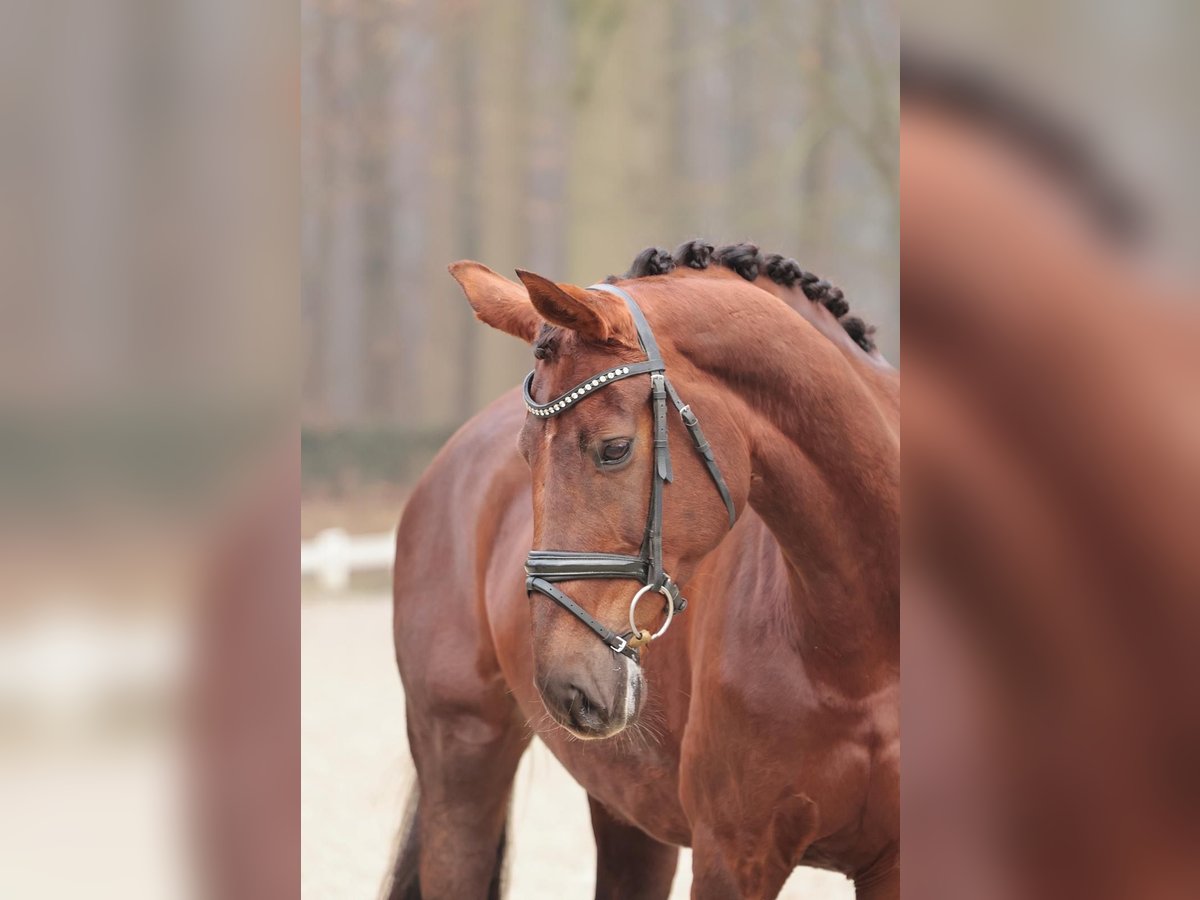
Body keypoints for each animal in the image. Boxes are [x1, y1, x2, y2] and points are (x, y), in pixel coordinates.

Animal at [385, 241, 899, 899]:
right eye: (524, 454)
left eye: (614, 449)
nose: (565, 687)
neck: (862, 652)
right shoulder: (732, 855)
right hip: (461, 767)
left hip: (629, 808)